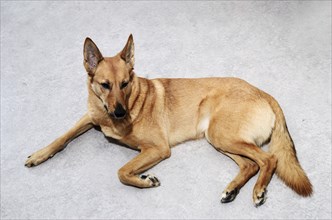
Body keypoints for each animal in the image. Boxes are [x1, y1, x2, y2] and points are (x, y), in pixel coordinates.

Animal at [24, 34, 312, 206]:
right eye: (105, 85)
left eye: (125, 83)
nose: (119, 113)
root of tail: (264, 93)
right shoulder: (90, 117)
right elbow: (63, 137)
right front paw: (39, 155)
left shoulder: (157, 148)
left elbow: (122, 172)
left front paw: (144, 180)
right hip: (219, 138)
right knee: (250, 165)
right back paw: (231, 190)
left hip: (222, 135)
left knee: (268, 159)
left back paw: (258, 191)